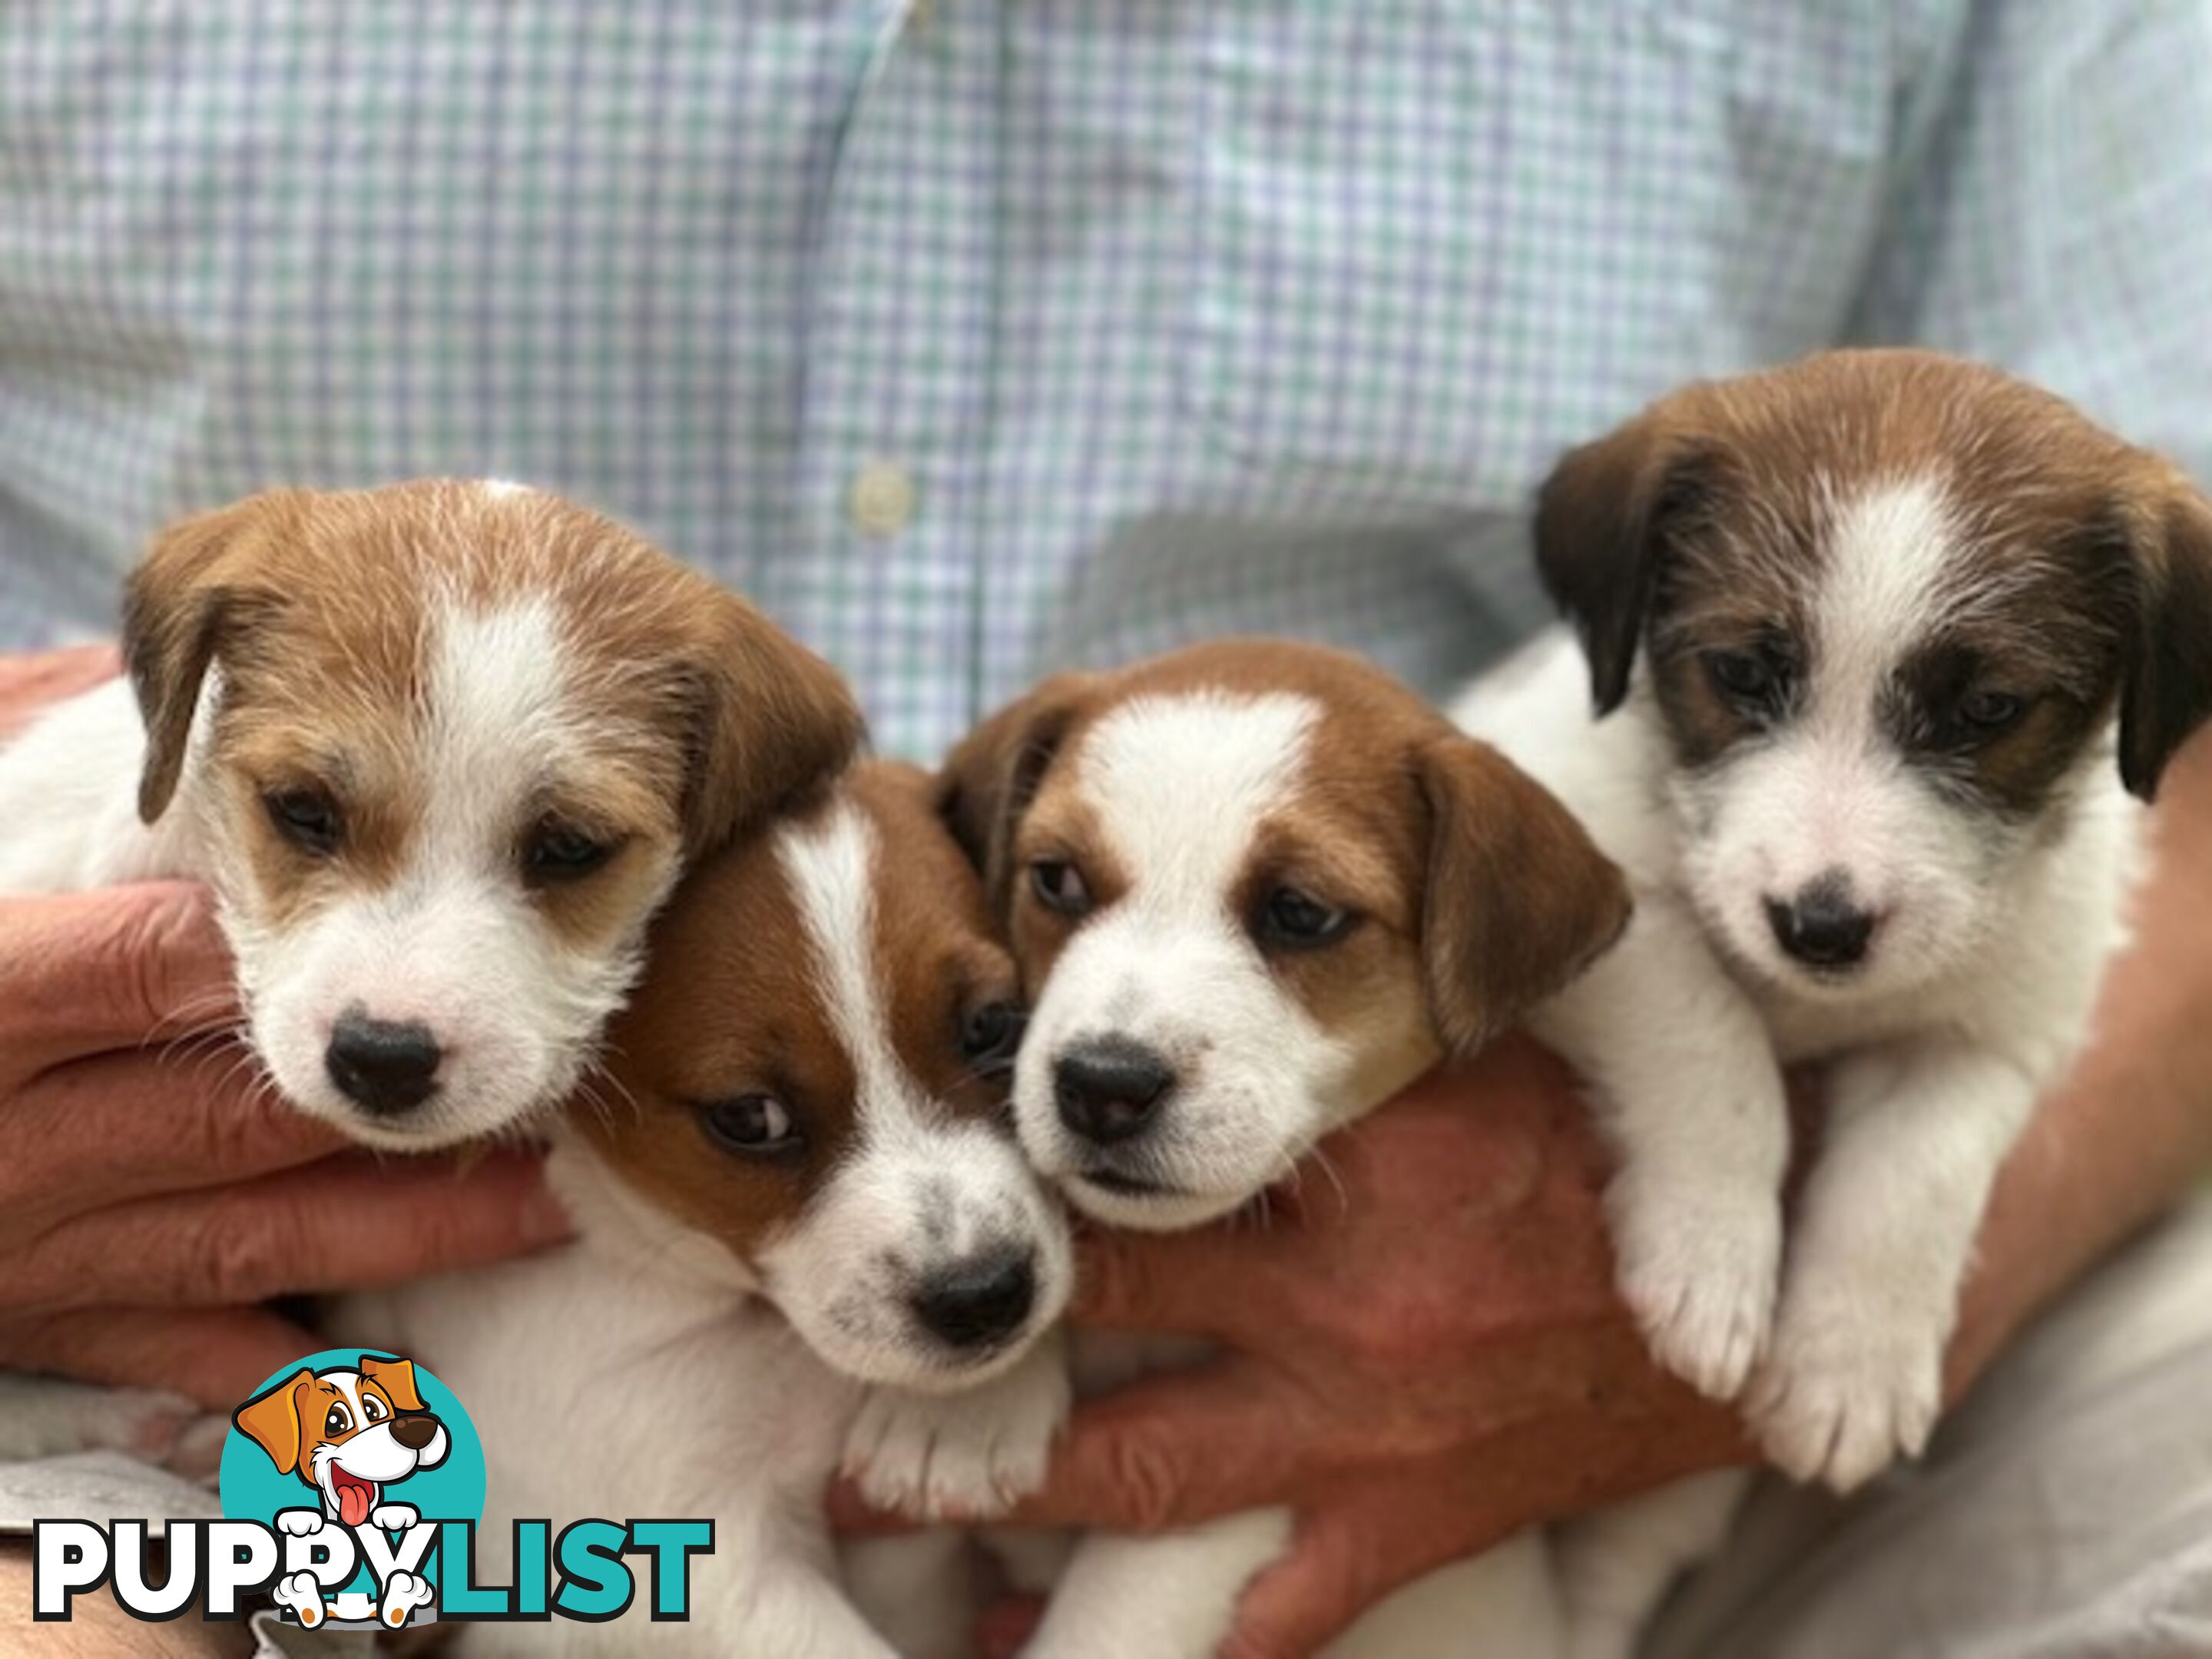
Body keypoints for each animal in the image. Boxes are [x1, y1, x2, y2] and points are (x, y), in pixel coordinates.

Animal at [924, 641, 1637, 1659]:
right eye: (1056, 880)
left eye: (1298, 912)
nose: (1102, 1085)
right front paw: (976, 1405)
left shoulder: (1251, 1464)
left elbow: (1110, 1619)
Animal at [1451, 345, 2212, 1654]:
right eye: (1743, 673)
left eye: (1988, 710)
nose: (1820, 926)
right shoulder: (1584, 900)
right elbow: (1715, 1047)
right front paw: (1712, 1257)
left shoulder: (1993, 1033)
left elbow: (1915, 1173)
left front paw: (1850, 1365)